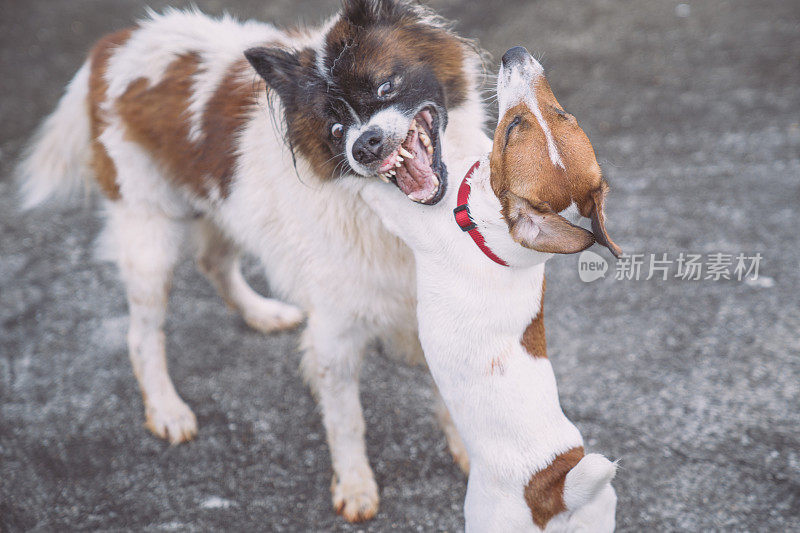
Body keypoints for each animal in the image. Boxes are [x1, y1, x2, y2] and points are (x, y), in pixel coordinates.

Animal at [15, 1, 488, 520]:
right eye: (334, 129)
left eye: (385, 87)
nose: (365, 146)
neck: (400, 222)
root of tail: (115, 42)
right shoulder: (334, 334)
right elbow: (346, 421)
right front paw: (355, 485)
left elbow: (456, 399)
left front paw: (471, 459)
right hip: (149, 236)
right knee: (141, 335)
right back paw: (166, 409)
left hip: (222, 207)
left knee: (212, 261)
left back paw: (261, 313)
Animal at [360, 46, 620, 532]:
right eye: (564, 112)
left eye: (512, 127)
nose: (515, 52)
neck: (486, 223)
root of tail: (553, 491)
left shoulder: (410, 219)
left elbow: (371, 189)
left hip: (486, 516)